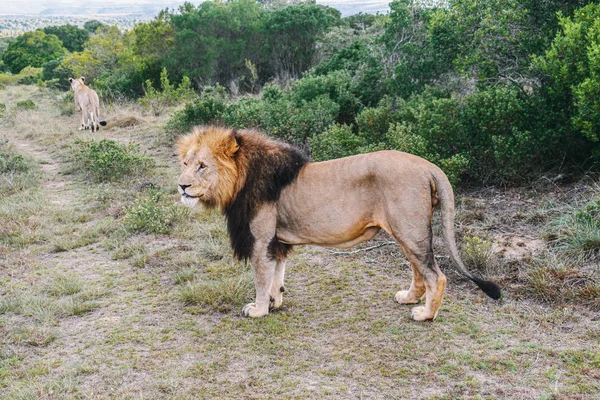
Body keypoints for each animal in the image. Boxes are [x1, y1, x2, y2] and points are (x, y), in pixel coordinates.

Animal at [177, 126, 502, 320]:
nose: (181, 186)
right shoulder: (277, 242)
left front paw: (258, 309)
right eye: (185, 163)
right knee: (420, 271)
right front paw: (274, 302)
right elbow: (276, 276)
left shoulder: (261, 239)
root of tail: (429, 166)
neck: (239, 179)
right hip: (406, 232)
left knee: (437, 275)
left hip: (410, 231)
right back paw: (409, 298)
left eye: (202, 166)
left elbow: (260, 277)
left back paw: (425, 315)